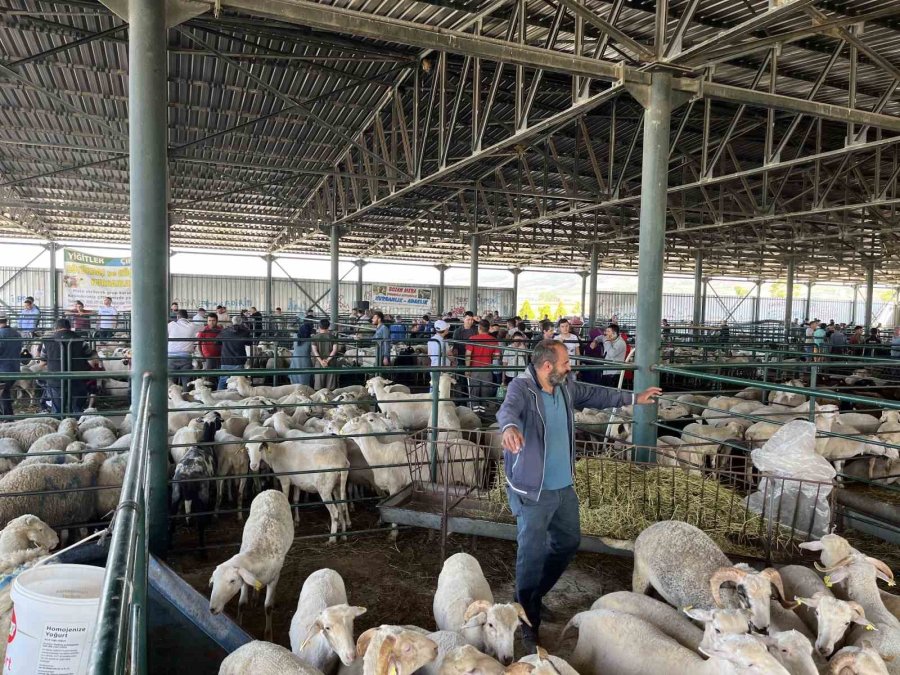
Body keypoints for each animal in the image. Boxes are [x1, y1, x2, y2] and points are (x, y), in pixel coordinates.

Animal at [207, 492, 292, 640]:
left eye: (232, 581)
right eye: (214, 580)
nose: (212, 609)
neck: (257, 552)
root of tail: (271, 491)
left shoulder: (273, 579)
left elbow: (268, 607)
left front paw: (268, 635)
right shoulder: (245, 580)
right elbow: (242, 604)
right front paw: (239, 624)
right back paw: (255, 597)